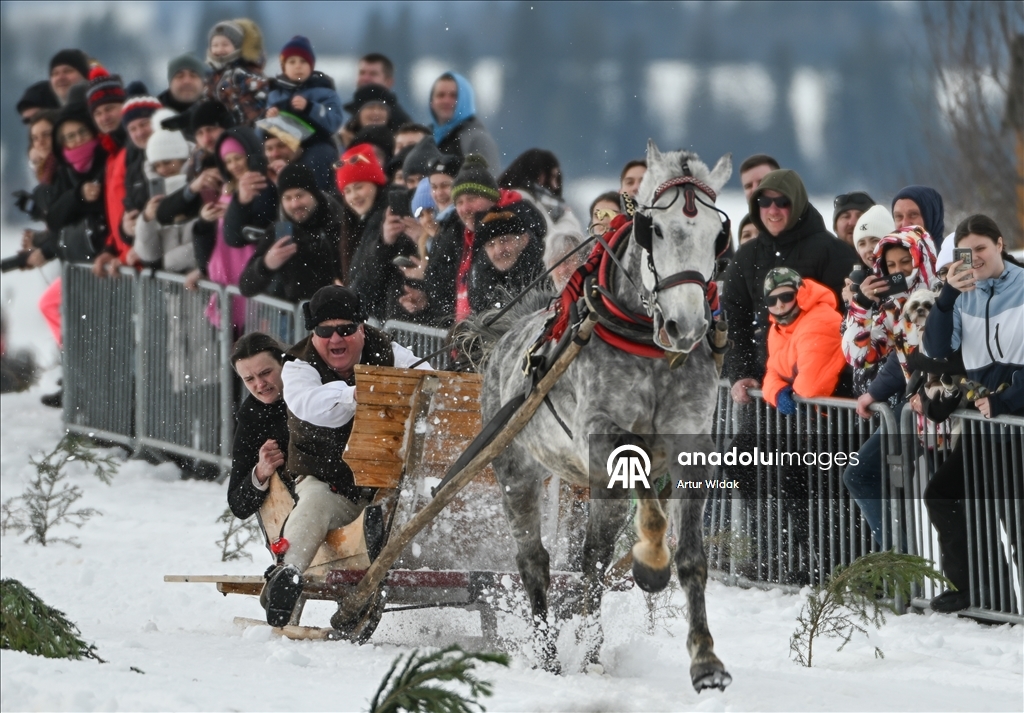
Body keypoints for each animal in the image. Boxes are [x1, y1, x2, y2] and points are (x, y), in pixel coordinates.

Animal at [468, 142, 733, 692]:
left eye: (718, 236)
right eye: (653, 229)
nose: (686, 326)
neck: (645, 342)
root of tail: (506, 337)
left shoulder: (690, 444)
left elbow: (691, 557)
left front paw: (706, 662)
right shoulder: (602, 436)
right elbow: (647, 507)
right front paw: (650, 562)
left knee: (591, 560)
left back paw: (590, 649)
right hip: (515, 469)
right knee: (536, 561)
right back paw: (549, 657)